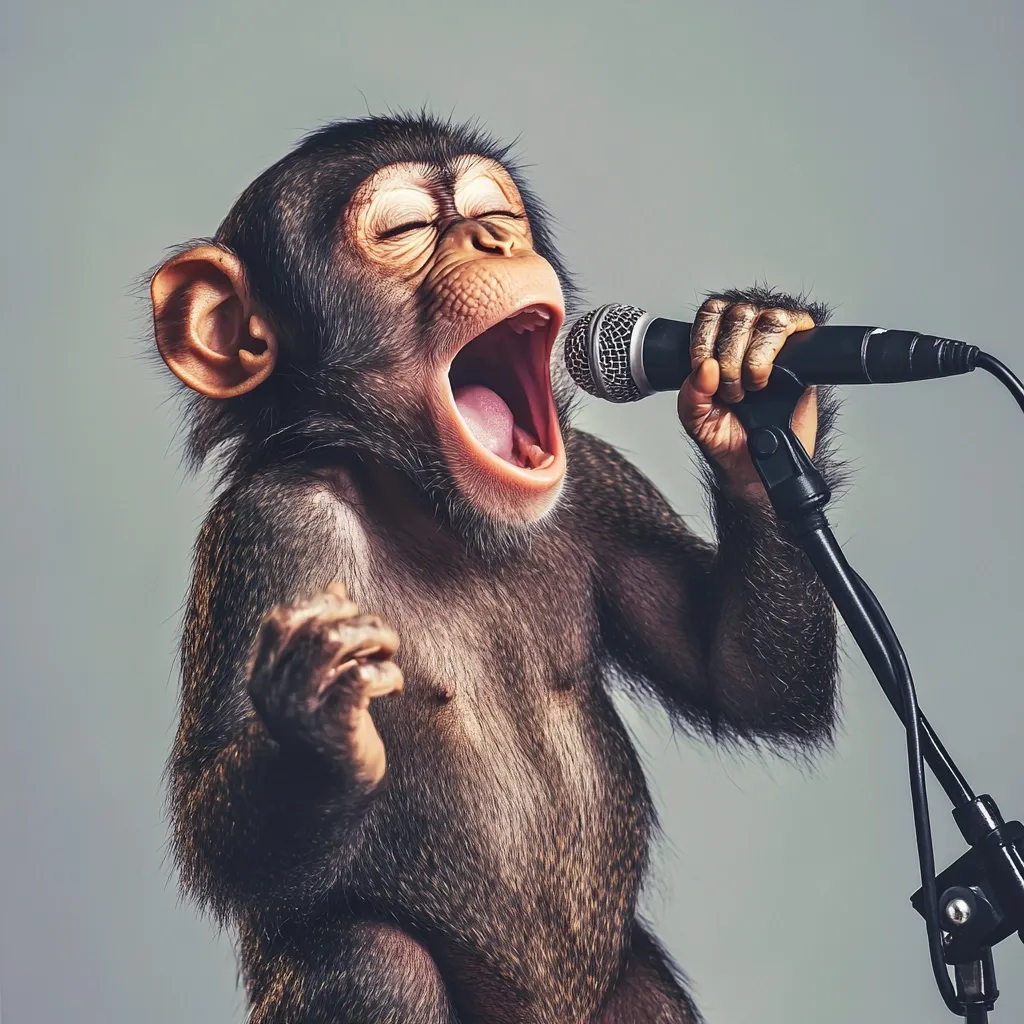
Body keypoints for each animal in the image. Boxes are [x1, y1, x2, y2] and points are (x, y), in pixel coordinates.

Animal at [150, 113, 841, 1024]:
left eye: (495, 212)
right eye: (405, 230)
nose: (493, 240)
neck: (438, 509)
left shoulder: (598, 481)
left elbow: (735, 673)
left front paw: (752, 356)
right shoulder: (272, 530)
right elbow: (216, 831)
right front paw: (315, 713)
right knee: (370, 958)